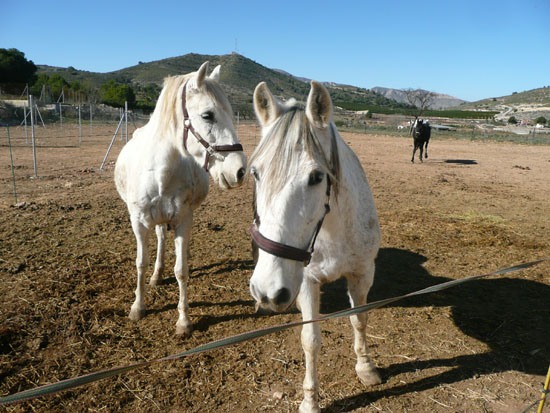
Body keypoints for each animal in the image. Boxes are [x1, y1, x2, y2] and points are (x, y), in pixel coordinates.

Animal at [115, 63, 247, 334]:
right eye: (208, 115)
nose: (239, 171)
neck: (160, 171)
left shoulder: (184, 220)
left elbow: (181, 270)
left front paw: (184, 320)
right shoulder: (138, 222)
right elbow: (140, 263)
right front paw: (138, 307)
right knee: (159, 239)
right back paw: (156, 276)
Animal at [251, 81, 384, 412]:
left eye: (316, 176)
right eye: (256, 173)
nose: (268, 291)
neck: (332, 230)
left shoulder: (363, 273)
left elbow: (360, 319)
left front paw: (366, 366)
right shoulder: (306, 281)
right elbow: (310, 339)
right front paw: (310, 400)